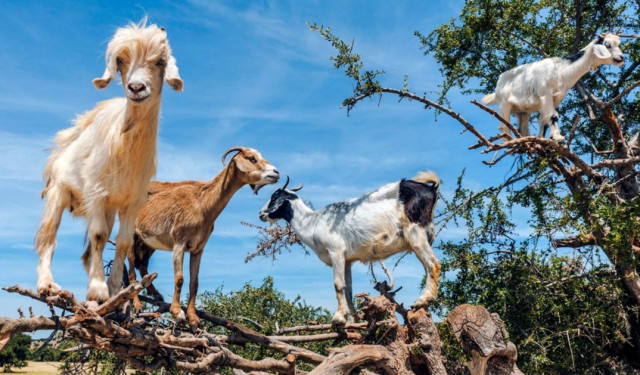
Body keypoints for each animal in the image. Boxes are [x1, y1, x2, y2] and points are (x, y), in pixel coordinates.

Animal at [36, 19, 182, 302]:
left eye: (160, 61)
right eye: (120, 61)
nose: (136, 88)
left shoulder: (132, 202)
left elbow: (123, 242)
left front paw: (115, 289)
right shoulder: (95, 193)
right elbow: (99, 235)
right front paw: (97, 290)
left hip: (110, 208)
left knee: (87, 252)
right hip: (59, 192)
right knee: (48, 237)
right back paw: (47, 285)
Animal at [131, 147, 278, 326]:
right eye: (252, 158)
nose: (276, 173)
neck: (202, 203)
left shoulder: (198, 248)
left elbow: (195, 282)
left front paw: (193, 318)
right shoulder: (179, 242)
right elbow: (179, 278)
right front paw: (177, 312)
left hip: (148, 242)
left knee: (142, 264)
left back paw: (156, 295)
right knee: (130, 269)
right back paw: (137, 305)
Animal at [258, 172, 440, 324]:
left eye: (275, 196)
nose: (261, 214)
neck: (312, 222)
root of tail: (430, 188)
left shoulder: (336, 251)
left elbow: (338, 285)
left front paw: (338, 318)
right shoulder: (347, 260)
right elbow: (348, 289)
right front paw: (352, 320)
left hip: (415, 232)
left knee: (433, 264)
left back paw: (423, 300)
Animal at [482, 33, 624, 142]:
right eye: (607, 44)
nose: (621, 57)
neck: (560, 70)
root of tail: (498, 86)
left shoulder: (554, 99)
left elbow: (544, 120)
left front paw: (543, 139)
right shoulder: (545, 94)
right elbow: (553, 115)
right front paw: (558, 137)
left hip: (523, 110)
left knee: (522, 128)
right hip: (504, 104)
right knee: (503, 126)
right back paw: (510, 141)